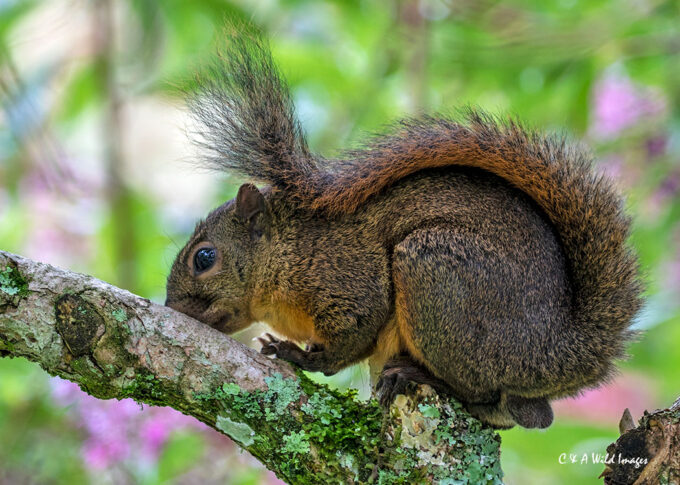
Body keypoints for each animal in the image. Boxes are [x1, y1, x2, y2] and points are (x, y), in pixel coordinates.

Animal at [165, 31, 643, 429]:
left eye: (204, 258)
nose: (171, 306)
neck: (285, 250)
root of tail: (563, 350)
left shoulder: (345, 274)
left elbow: (353, 332)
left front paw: (296, 355)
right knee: (525, 415)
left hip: (437, 273)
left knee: (484, 392)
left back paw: (418, 374)